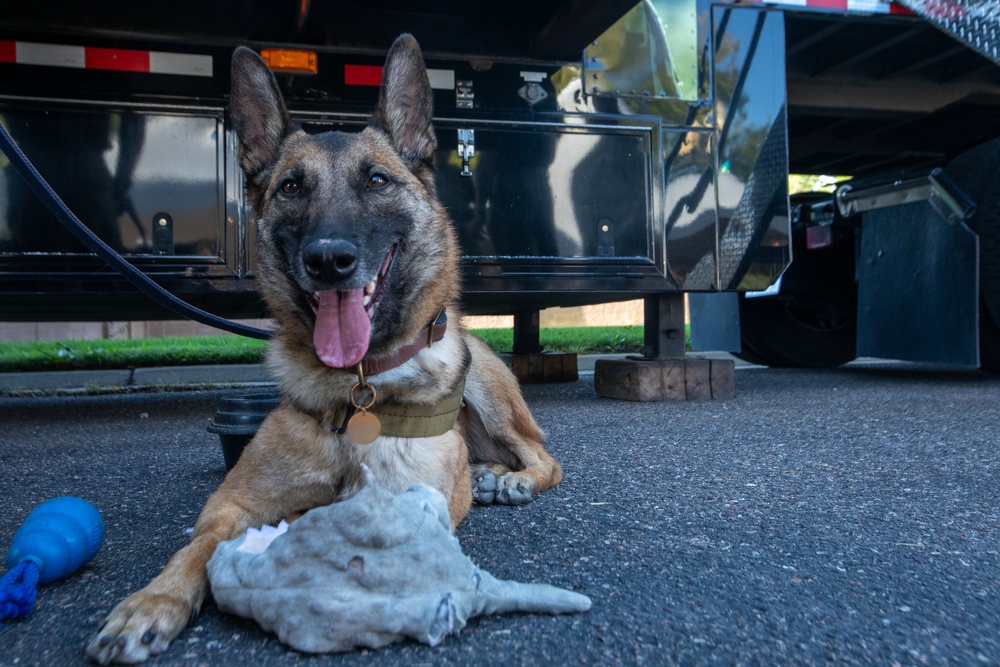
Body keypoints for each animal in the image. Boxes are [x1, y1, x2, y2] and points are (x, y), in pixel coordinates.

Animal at [88, 35, 564, 664]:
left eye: (377, 181)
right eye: (292, 186)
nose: (329, 259)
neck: (357, 389)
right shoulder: (230, 505)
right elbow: (195, 548)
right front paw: (152, 602)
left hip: (485, 382)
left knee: (545, 457)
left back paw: (513, 480)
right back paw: (485, 472)